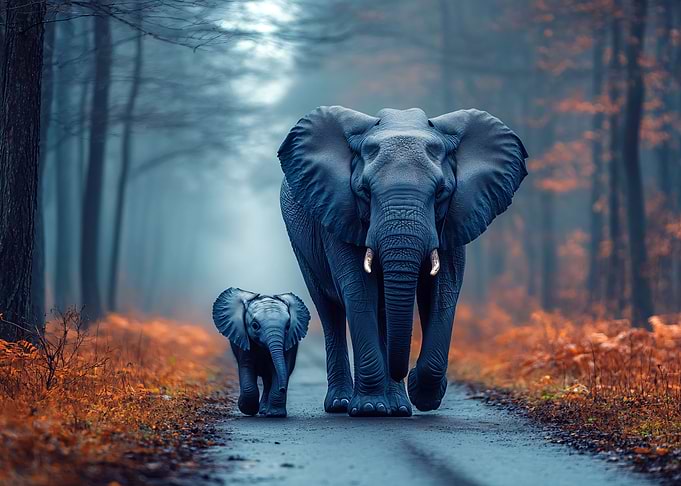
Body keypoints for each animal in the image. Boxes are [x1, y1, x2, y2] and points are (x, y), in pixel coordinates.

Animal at [212, 287, 310, 417]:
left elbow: (282, 368)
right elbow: (246, 366)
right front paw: (247, 409)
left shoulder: (289, 344)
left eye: (288, 326)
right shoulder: (243, 340)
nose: (282, 389)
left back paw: (265, 411)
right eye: (255, 326)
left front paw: (275, 414)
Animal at [277, 106, 527, 417]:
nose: (404, 372)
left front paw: (424, 394)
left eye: (441, 193)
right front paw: (370, 408)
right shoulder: (339, 211)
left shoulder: (457, 216)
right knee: (330, 311)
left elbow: (443, 292)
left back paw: (397, 407)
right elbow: (360, 291)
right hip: (301, 243)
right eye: (364, 192)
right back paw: (343, 405)